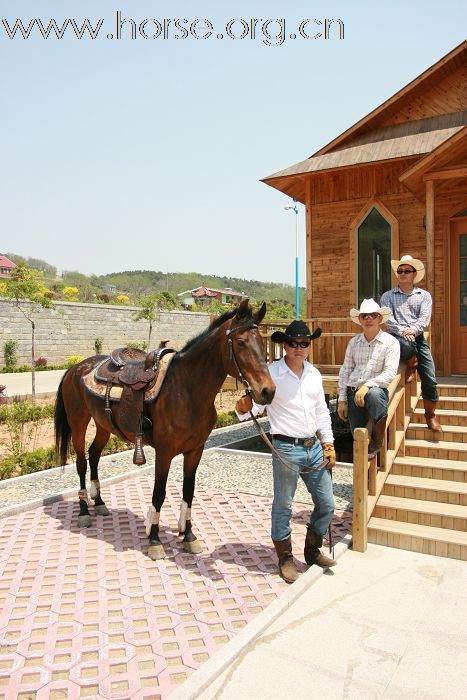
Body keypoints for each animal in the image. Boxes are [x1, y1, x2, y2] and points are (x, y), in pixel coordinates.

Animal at [54, 300, 276, 556]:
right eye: (240, 342)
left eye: (262, 342)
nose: (268, 391)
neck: (185, 391)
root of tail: (76, 368)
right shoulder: (165, 452)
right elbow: (159, 493)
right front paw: (154, 540)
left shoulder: (195, 451)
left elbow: (188, 492)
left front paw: (188, 536)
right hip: (79, 422)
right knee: (81, 462)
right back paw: (83, 512)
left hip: (103, 425)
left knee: (94, 455)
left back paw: (99, 503)